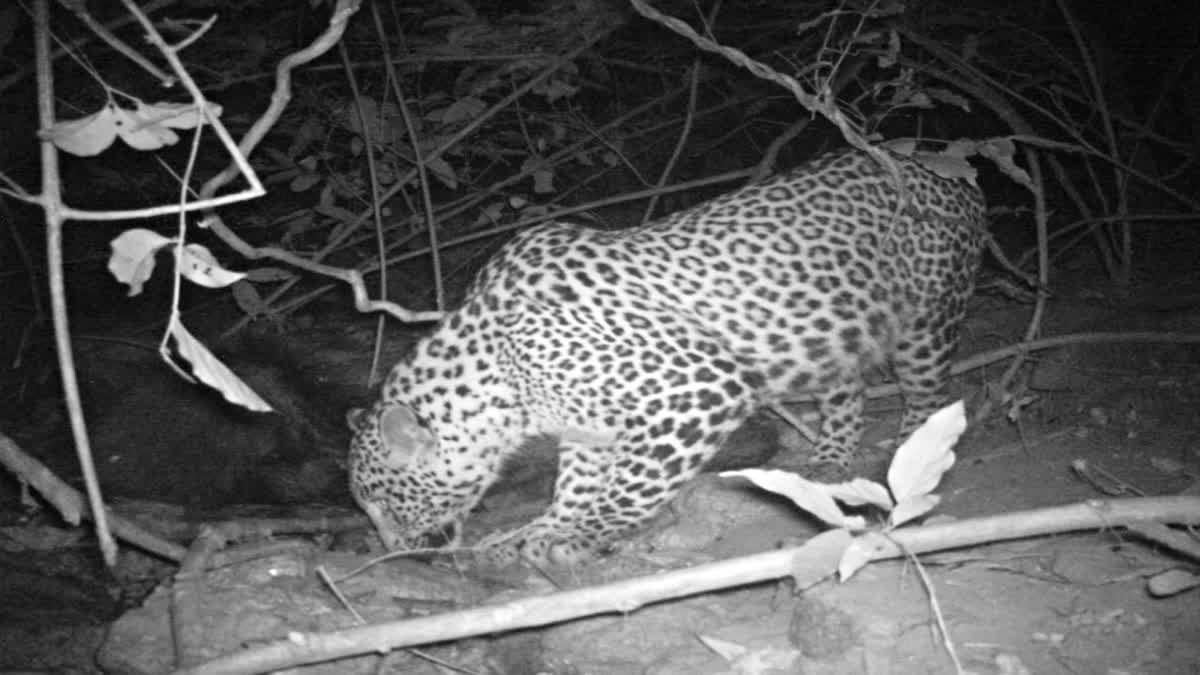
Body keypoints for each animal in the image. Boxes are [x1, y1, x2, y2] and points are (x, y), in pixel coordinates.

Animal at [347, 147, 986, 567]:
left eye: (383, 501)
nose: (390, 551)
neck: (497, 377)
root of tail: (943, 166)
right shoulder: (587, 425)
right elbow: (575, 483)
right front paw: (541, 529)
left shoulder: (699, 387)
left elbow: (631, 484)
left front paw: (582, 534)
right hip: (830, 334)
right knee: (846, 390)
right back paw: (827, 461)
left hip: (928, 321)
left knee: (928, 396)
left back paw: (907, 467)